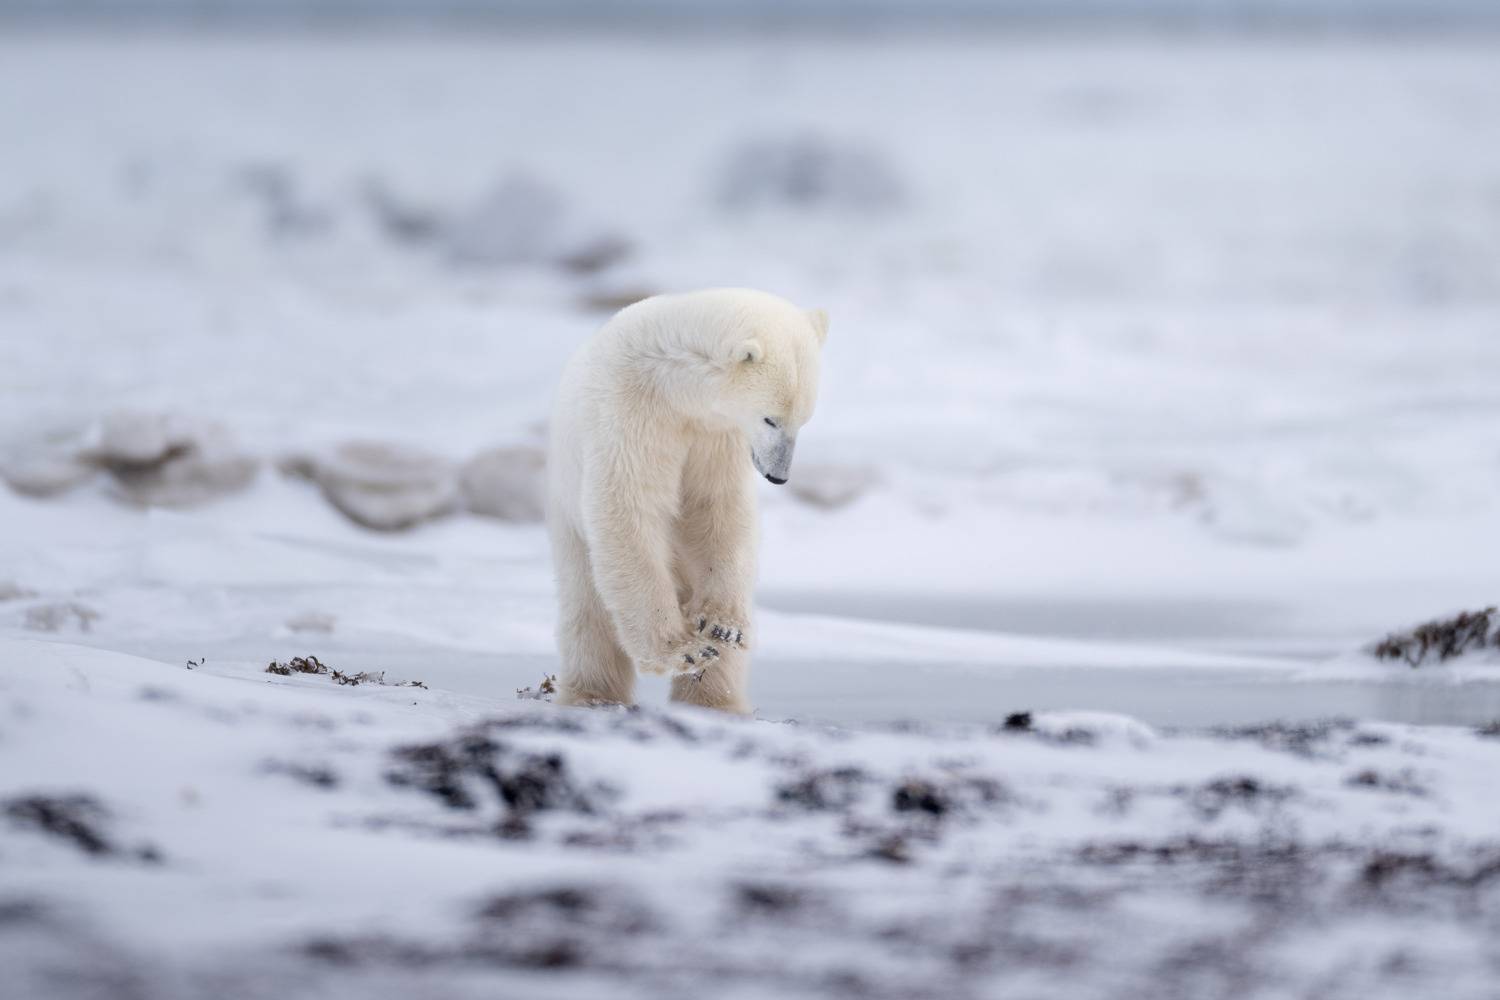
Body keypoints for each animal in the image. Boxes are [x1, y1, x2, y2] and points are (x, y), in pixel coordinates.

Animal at [546, 288, 829, 714]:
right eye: (770, 419)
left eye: (803, 420)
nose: (778, 476)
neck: (670, 382)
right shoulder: (630, 416)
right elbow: (628, 512)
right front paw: (683, 651)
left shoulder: (715, 435)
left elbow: (717, 509)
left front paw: (721, 627)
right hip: (570, 529)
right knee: (588, 612)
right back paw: (591, 695)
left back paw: (716, 700)